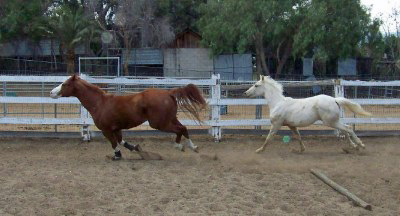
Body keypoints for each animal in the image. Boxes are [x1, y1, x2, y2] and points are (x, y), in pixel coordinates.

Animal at [50, 74, 206, 160]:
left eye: (65, 84)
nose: (51, 92)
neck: (99, 103)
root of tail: (169, 93)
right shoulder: (117, 128)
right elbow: (121, 141)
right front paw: (136, 148)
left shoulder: (106, 130)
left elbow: (114, 143)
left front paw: (117, 156)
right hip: (170, 119)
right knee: (183, 128)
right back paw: (191, 146)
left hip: (159, 123)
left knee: (180, 129)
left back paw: (182, 146)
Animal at [244, 75, 372, 153]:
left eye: (256, 85)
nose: (245, 93)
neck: (277, 103)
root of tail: (335, 100)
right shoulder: (291, 125)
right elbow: (298, 136)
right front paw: (301, 150)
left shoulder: (276, 124)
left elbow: (268, 137)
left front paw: (259, 150)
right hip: (335, 121)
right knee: (345, 129)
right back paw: (353, 146)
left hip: (330, 122)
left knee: (348, 129)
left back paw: (360, 145)